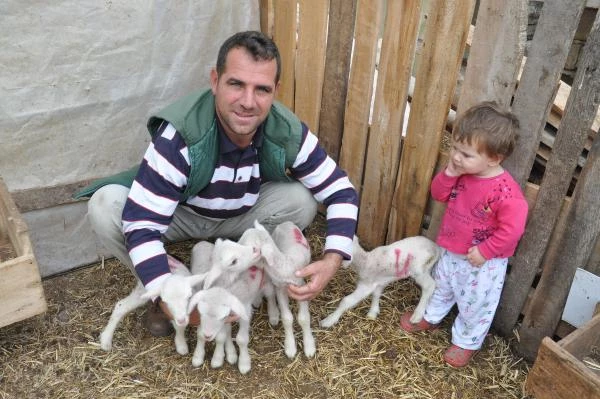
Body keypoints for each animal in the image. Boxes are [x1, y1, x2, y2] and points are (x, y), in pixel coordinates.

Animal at [237, 220, 316, 360]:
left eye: (252, 249)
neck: (284, 264)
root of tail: (286, 222)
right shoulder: (280, 288)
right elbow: (287, 318)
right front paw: (290, 347)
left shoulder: (301, 286)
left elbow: (304, 318)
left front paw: (309, 347)